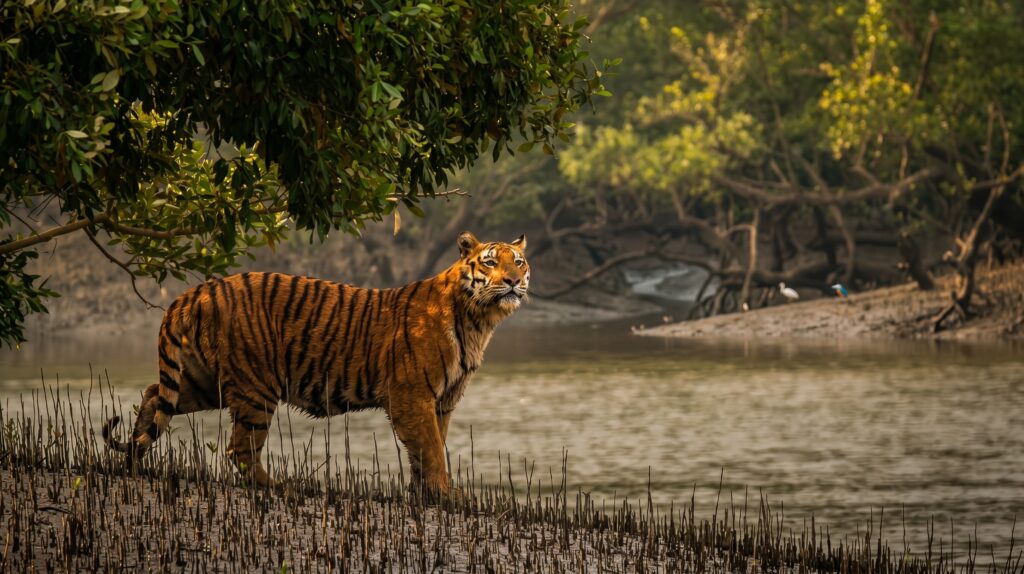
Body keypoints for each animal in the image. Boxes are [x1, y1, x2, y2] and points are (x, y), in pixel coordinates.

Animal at [103, 231, 529, 495]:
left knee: (154, 394)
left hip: (206, 381)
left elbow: (429, 449)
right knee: (240, 448)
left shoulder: (442, 401)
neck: (478, 320)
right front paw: (447, 495)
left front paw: (425, 493)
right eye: (490, 263)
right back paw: (277, 487)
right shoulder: (413, 396)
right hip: (256, 387)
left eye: (520, 262)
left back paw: (135, 461)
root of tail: (197, 290)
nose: (512, 281)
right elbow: (431, 449)